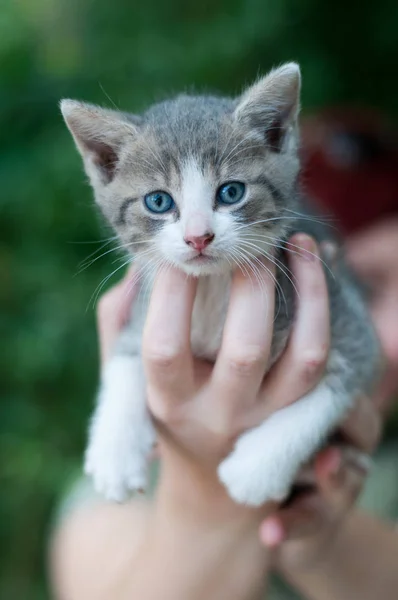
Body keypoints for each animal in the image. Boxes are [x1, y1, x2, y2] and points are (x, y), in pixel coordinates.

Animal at [60, 63, 380, 506]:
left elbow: (334, 388)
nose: (198, 237)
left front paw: (256, 470)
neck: (212, 289)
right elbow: (124, 356)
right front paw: (115, 451)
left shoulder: (347, 314)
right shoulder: (144, 301)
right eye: (158, 201)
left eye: (231, 192)